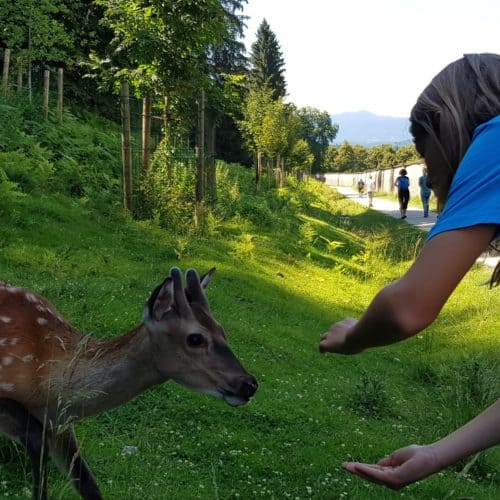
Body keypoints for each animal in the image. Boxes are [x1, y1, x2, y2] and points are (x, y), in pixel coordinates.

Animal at [0, 270, 258, 500]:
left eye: (222, 330)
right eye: (195, 338)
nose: (250, 384)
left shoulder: (60, 421)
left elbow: (88, 484)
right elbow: (37, 439)